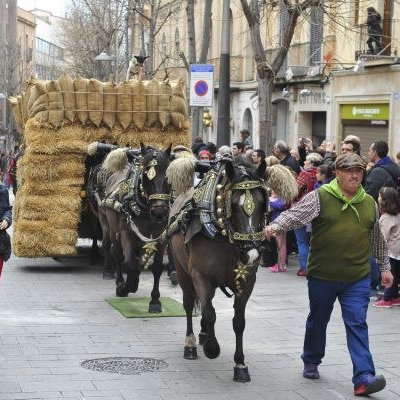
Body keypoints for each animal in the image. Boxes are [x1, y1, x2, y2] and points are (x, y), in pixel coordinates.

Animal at [164, 155, 298, 382]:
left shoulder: (247, 281)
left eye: (262, 203)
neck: (224, 235)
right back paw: (191, 344)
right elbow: (209, 313)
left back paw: (204, 334)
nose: (251, 254)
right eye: (233, 204)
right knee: (190, 304)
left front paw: (240, 365)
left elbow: (238, 322)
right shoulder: (200, 276)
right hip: (182, 271)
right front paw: (212, 349)